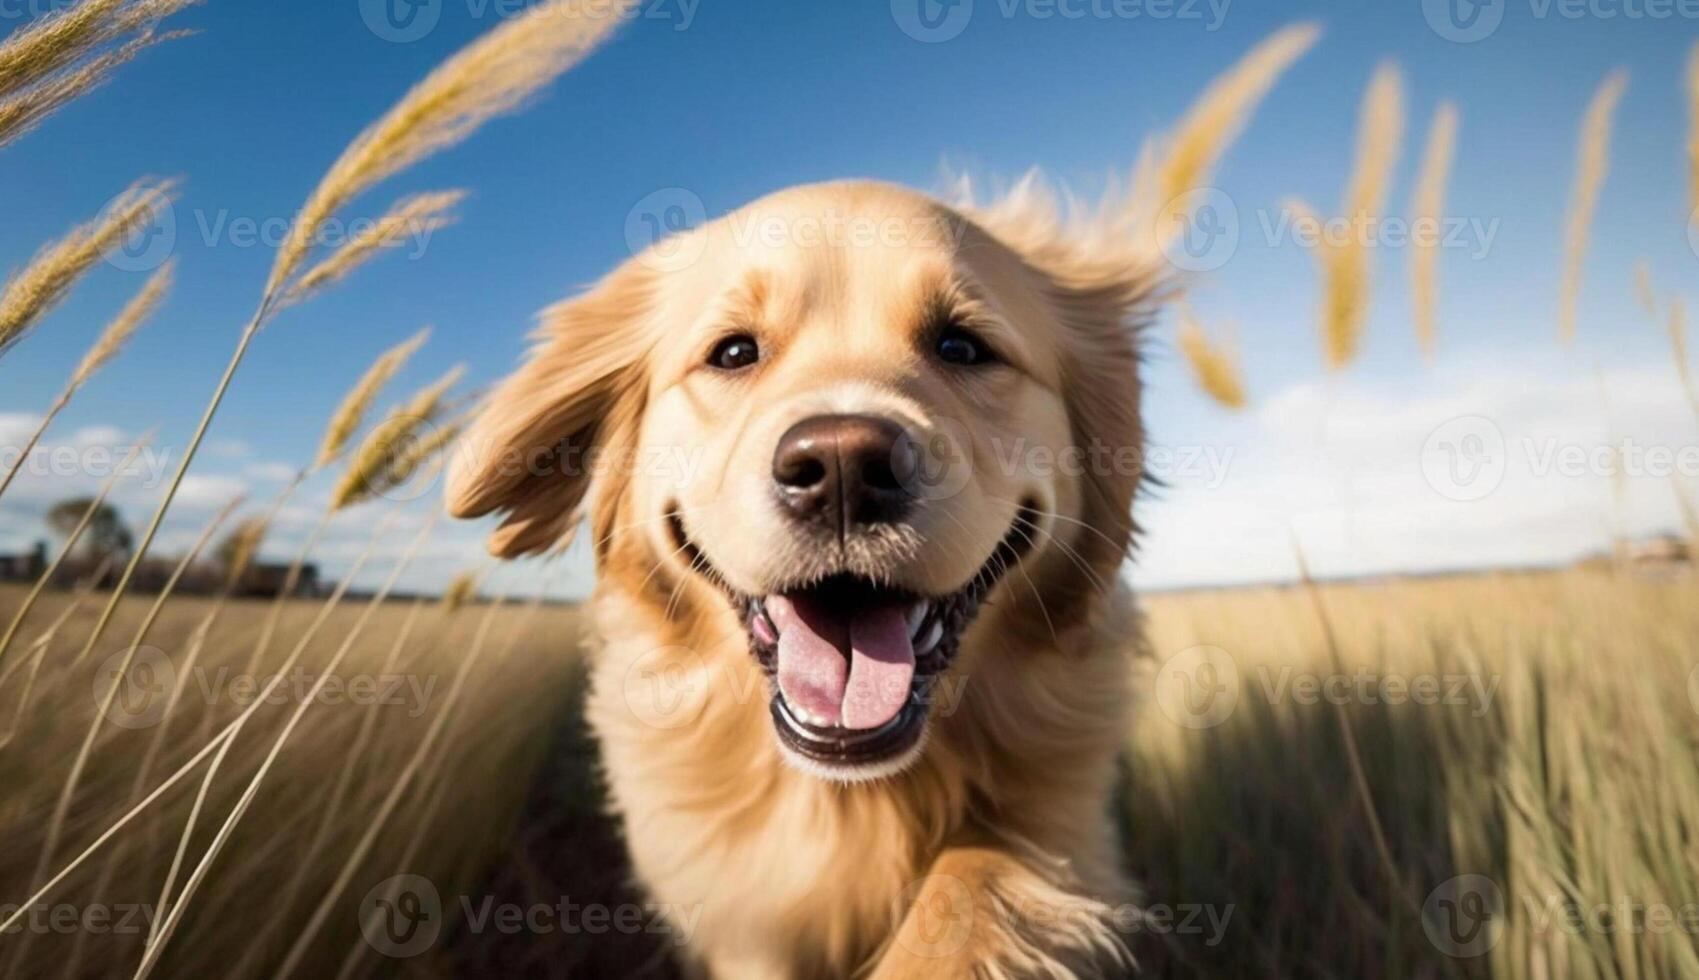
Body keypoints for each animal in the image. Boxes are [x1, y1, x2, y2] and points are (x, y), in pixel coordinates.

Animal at [445, 26, 1304, 971]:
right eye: (733, 351)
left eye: (962, 345)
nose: (843, 469)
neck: (848, 793)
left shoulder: (1064, 825)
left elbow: (970, 887)